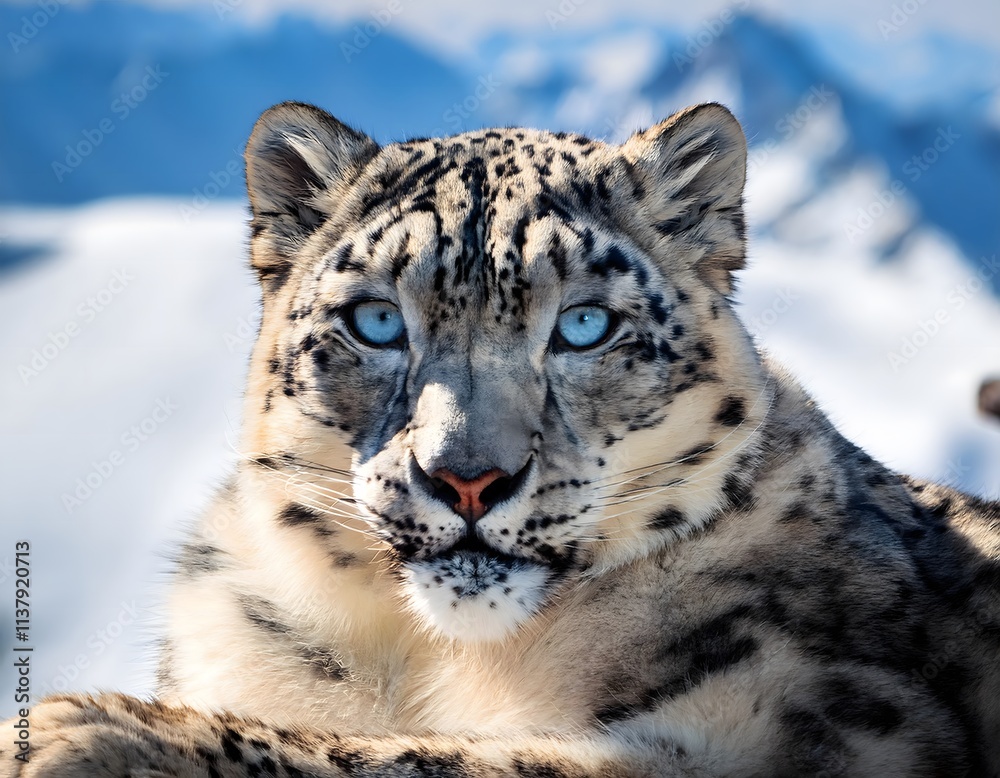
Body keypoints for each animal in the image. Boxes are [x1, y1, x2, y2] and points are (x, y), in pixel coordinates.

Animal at [4, 101, 999, 777]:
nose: (468, 478)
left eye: (586, 325)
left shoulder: (785, 726)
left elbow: (462, 757)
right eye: (376, 320)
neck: (436, 661)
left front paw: (85, 734)